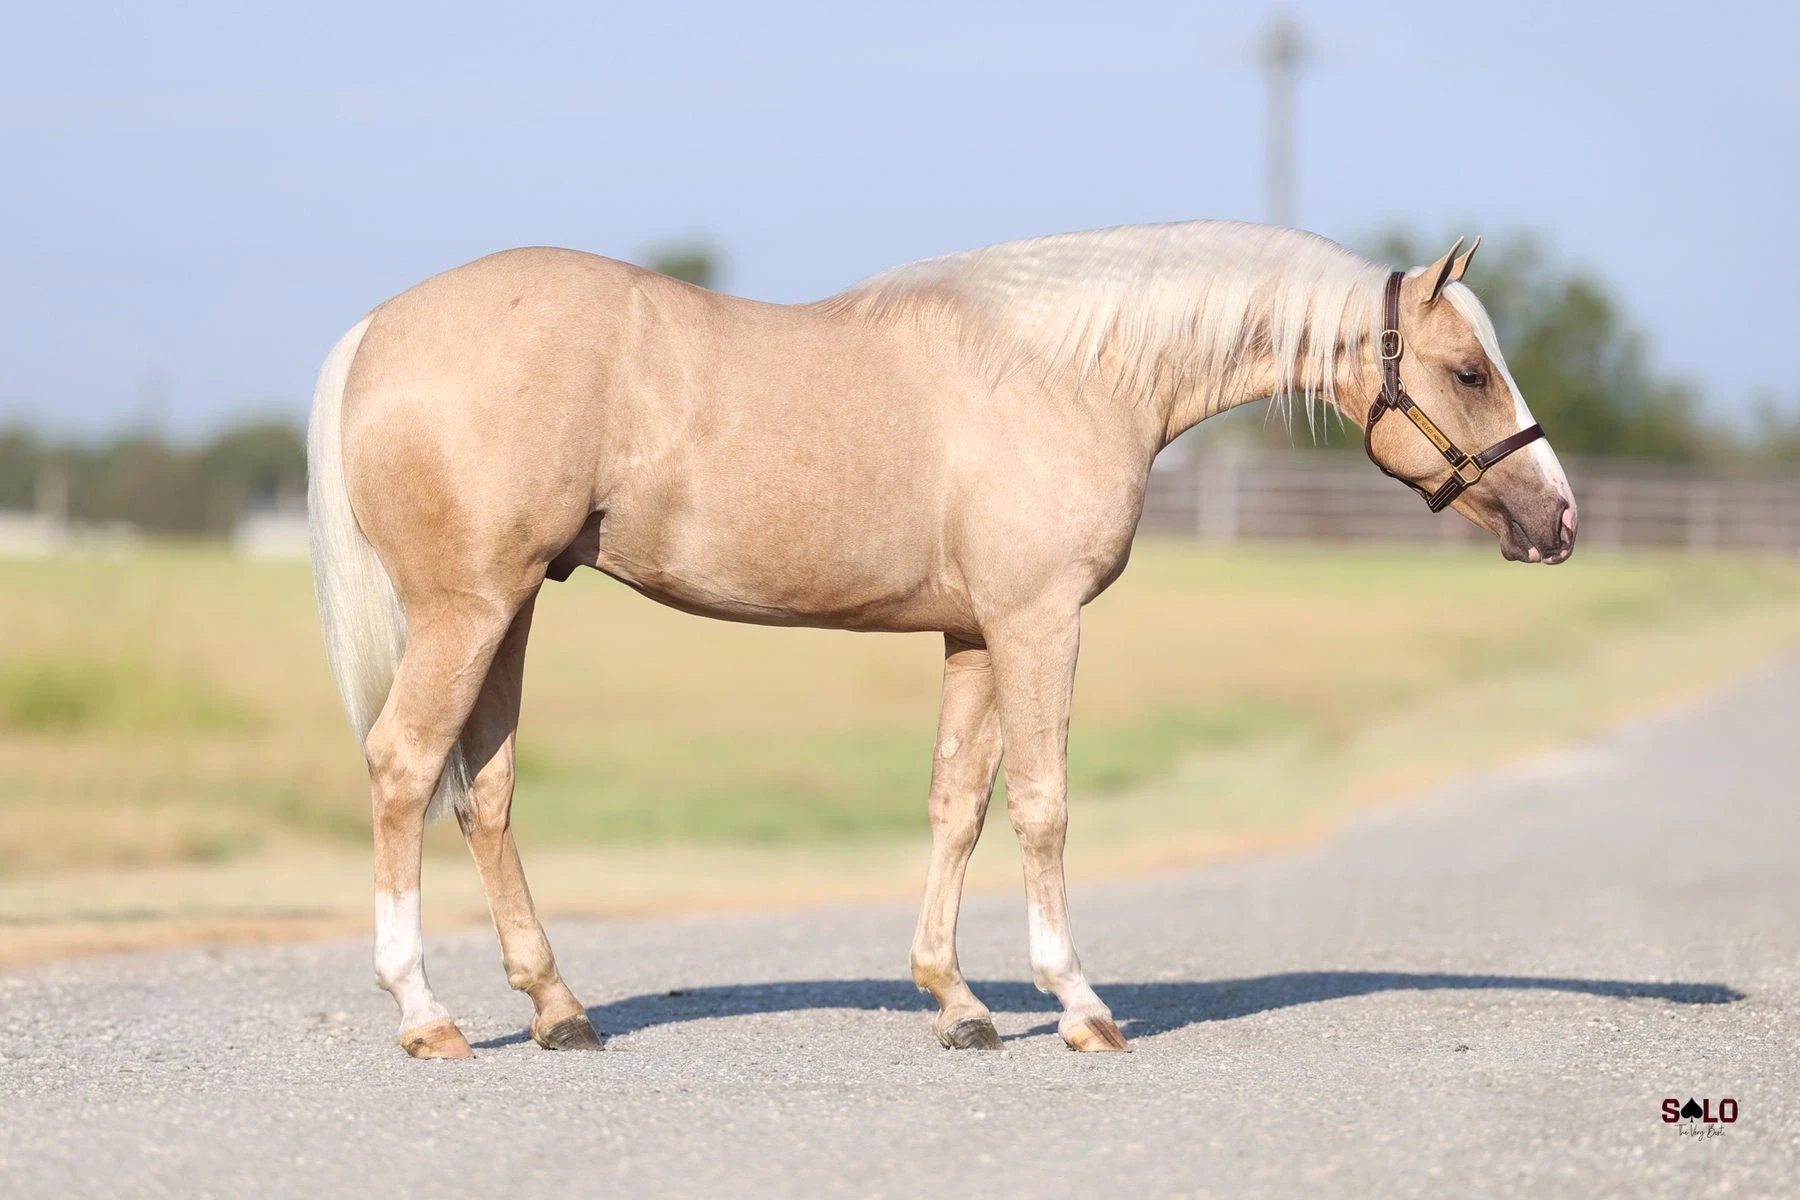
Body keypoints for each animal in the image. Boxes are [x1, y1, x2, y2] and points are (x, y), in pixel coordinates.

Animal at [306, 220, 1577, 1059]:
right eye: (1469, 371)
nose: (1558, 520)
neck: (1067, 370)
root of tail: (374, 331)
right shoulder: (1038, 623)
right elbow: (1044, 807)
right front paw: (1078, 1006)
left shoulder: (974, 632)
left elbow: (957, 803)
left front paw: (958, 1003)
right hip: (467, 612)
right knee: (404, 768)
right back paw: (425, 1013)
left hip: (510, 610)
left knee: (486, 793)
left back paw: (558, 1009)